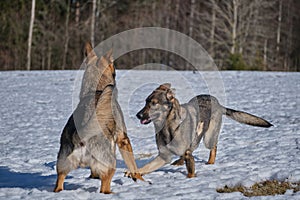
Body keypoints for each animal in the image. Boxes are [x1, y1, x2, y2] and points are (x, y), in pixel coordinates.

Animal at [53, 42, 142, 194]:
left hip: (62, 165)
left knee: (59, 183)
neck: (95, 90)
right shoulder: (122, 138)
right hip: (110, 164)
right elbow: (133, 164)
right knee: (104, 188)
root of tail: (80, 136)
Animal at [134, 83, 272, 178]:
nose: (138, 115)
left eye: (154, 103)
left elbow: (190, 171)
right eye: (146, 102)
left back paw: (210, 162)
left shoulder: (185, 155)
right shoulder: (164, 156)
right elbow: (146, 167)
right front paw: (135, 173)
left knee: (214, 147)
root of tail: (219, 104)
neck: (167, 126)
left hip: (208, 138)